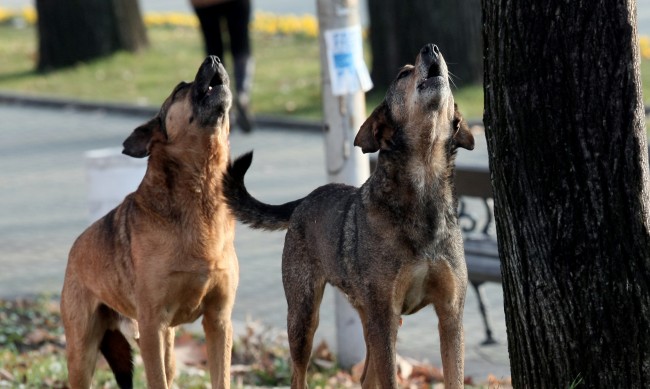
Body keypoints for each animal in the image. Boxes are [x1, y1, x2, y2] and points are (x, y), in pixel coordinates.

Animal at [60, 55, 237, 388]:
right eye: (180, 89)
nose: (214, 58)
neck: (200, 192)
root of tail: (74, 250)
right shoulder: (152, 325)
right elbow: (157, 380)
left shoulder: (218, 321)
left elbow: (220, 378)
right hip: (82, 353)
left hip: (167, 345)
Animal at [221, 44, 470, 386]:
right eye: (403, 74)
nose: (430, 48)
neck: (423, 194)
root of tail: (305, 200)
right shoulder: (385, 317)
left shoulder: (450, 313)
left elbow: (453, 376)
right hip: (304, 317)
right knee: (299, 376)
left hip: (366, 318)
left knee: (365, 378)